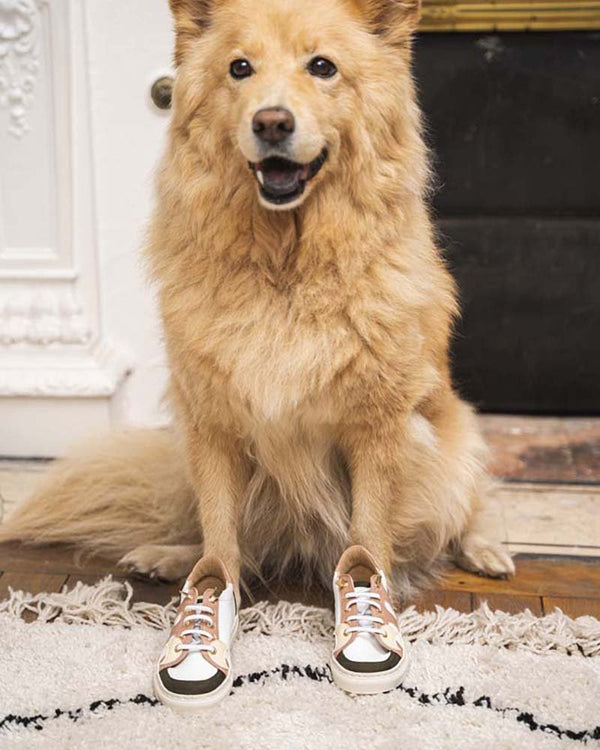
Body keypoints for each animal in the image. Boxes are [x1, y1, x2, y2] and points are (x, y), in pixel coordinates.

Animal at [2, 0, 512, 600]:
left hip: (456, 439)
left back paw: (486, 550)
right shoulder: (213, 427)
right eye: (240, 68)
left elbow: (368, 536)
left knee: (469, 507)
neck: (286, 270)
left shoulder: (377, 430)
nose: (271, 122)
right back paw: (168, 556)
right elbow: (221, 534)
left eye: (322, 66)